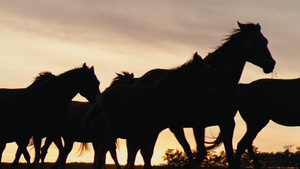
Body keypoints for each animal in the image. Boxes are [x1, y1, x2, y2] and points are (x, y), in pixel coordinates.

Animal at [83, 22, 276, 169]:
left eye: (266, 41)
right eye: (255, 41)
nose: (270, 64)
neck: (220, 84)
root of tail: (137, 80)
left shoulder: (227, 123)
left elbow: (229, 156)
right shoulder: (199, 123)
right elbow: (200, 154)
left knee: (142, 151)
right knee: (131, 150)